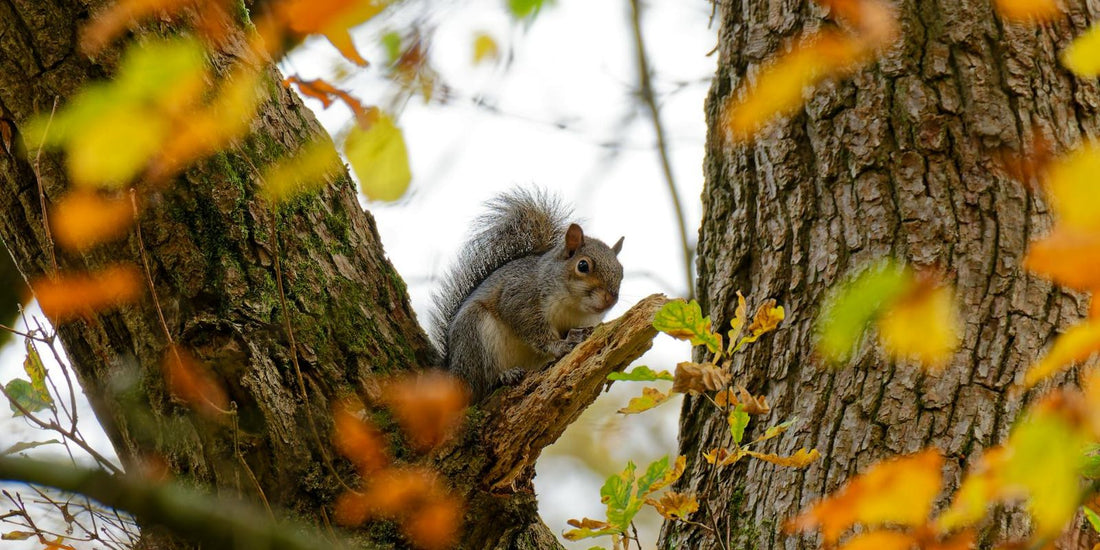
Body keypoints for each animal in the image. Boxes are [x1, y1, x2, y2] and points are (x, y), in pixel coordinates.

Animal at [429, 188, 624, 400]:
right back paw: (504, 375)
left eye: (621, 272)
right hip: (472, 334)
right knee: (479, 385)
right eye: (583, 266)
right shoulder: (519, 297)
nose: (610, 299)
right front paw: (559, 345)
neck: (574, 306)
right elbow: (531, 328)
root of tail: (452, 371)